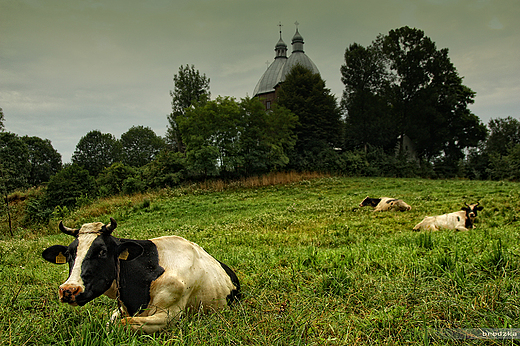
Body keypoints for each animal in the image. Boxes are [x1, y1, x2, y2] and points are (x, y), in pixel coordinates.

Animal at [41, 218, 241, 334]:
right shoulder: (121, 308)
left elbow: (124, 324)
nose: (68, 290)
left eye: (102, 252)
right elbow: (112, 323)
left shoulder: (170, 315)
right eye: (69, 254)